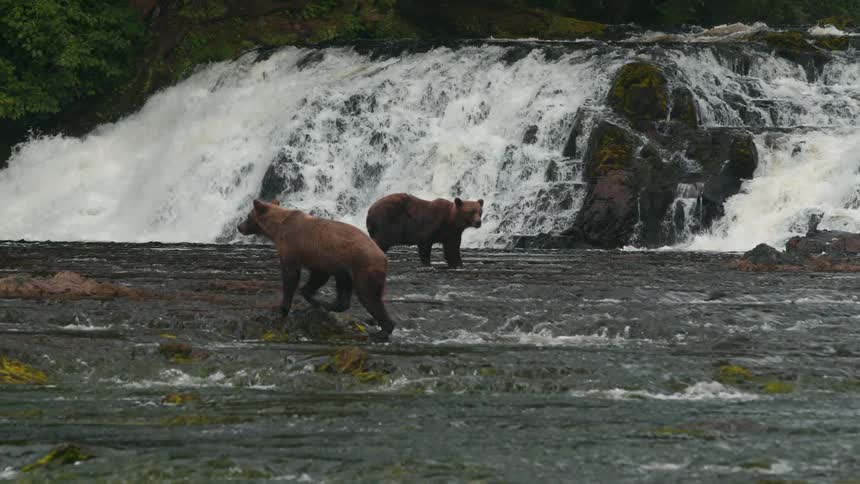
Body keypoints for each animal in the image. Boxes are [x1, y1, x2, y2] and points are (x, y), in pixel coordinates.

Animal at [237, 199, 396, 342]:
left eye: (248, 216)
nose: (239, 226)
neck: (277, 229)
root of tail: (383, 257)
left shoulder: (293, 246)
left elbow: (291, 276)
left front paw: (283, 308)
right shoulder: (320, 259)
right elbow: (318, 276)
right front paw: (312, 298)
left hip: (364, 267)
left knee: (369, 297)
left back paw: (381, 332)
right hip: (346, 269)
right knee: (344, 290)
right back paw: (330, 305)